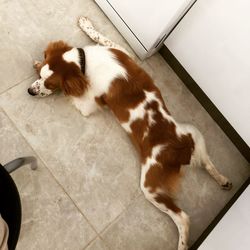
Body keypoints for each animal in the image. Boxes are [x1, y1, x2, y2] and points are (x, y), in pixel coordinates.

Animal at [27, 16, 232, 249]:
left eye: (50, 84)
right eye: (41, 76)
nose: (30, 91)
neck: (83, 64)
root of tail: (181, 151)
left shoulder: (88, 105)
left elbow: (72, 95)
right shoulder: (121, 52)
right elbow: (102, 36)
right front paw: (84, 24)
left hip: (150, 186)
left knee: (183, 217)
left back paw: (182, 242)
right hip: (194, 132)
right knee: (207, 162)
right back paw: (222, 180)